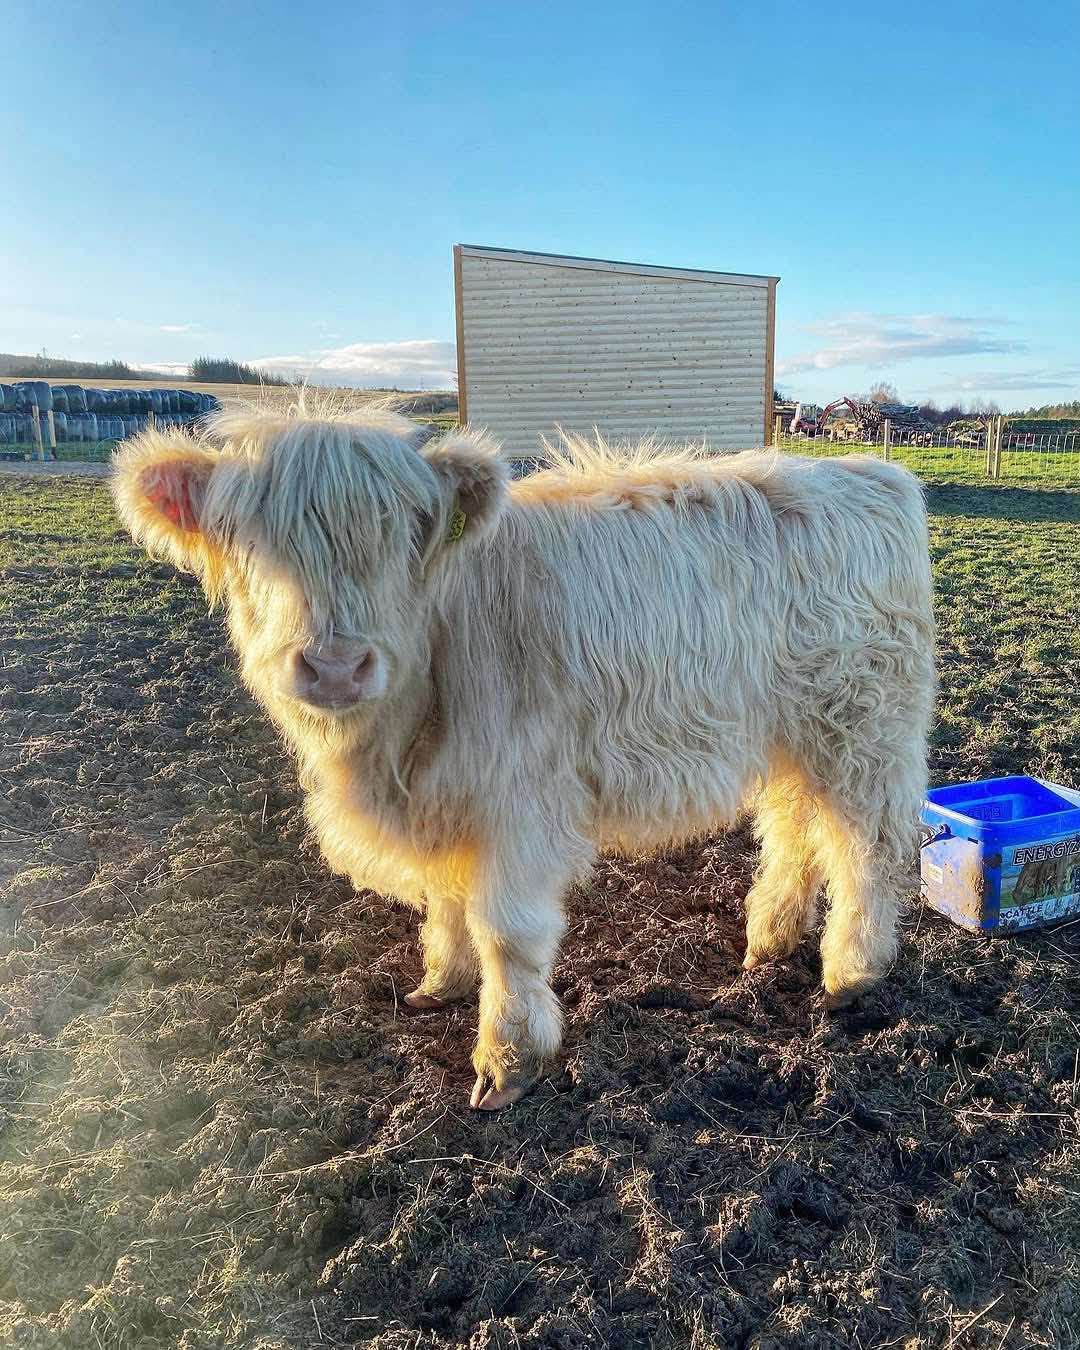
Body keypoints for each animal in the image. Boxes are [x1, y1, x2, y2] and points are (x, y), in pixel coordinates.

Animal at [112, 401, 936, 1109]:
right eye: (249, 537)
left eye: (404, 533)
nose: (336, 668)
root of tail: (869, 473)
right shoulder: (443, 799)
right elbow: (445, 899)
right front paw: (440, 981)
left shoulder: (522, 799)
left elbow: (506, 933)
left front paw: (507, 1061)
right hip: (792, 735)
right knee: (797, 829)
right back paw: (770, 939)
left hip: (863, 726)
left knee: (867, 843)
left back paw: (853, 969)